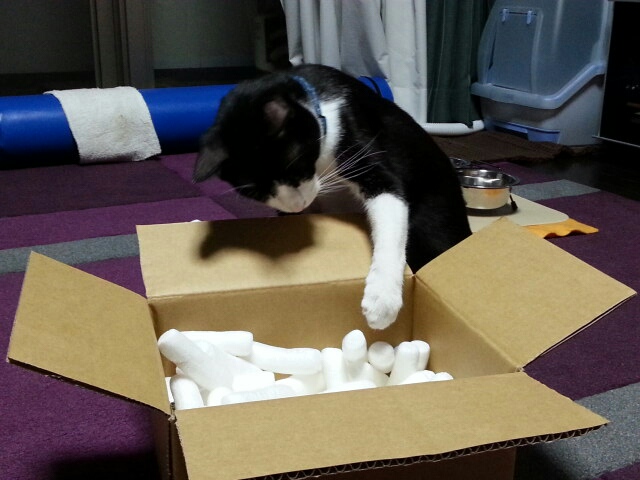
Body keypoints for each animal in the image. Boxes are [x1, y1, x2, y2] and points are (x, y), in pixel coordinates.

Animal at [193, 64, 472, 330]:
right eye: (256, 194)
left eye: (297, 169)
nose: (298, 205)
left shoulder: (363, 146)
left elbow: (391, 223)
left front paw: (383, 297)